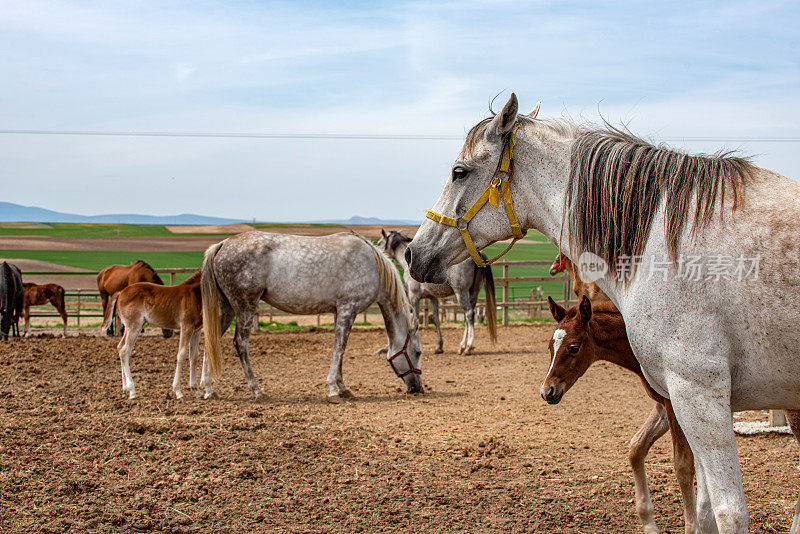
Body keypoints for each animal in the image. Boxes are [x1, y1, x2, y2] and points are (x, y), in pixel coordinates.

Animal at [101, 270, 202, 400]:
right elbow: (181, 355)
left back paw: (125, 388)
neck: (195, 295)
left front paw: (197, 390)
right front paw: (178, 391)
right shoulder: (186, 327)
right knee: (124, 351)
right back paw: (132, 391)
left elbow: (194, 356)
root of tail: (121, 292)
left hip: (132, 327)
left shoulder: (196, 330)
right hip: (134, 326)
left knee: (120, 347)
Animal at [200, 232, 422, 404]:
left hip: (226, 308)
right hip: (244, 306)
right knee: (240, 344)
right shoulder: (348, 309)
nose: (417, 387)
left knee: (211, 339)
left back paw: (208, 389)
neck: (372, 265)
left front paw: (343, 388)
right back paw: (256, 390)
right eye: (418, 353)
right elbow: (339, 349)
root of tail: (223, 244)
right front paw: (333, 390)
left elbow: (340, 352)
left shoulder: (339, 312)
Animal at [540, 298, 800, 534]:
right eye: (551, 347)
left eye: (574, 348)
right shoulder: (664, 405)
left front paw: (692, 527)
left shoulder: (677, 406)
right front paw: (649, 524)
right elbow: (636, 448)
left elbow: (683, 467)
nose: (547, 391)